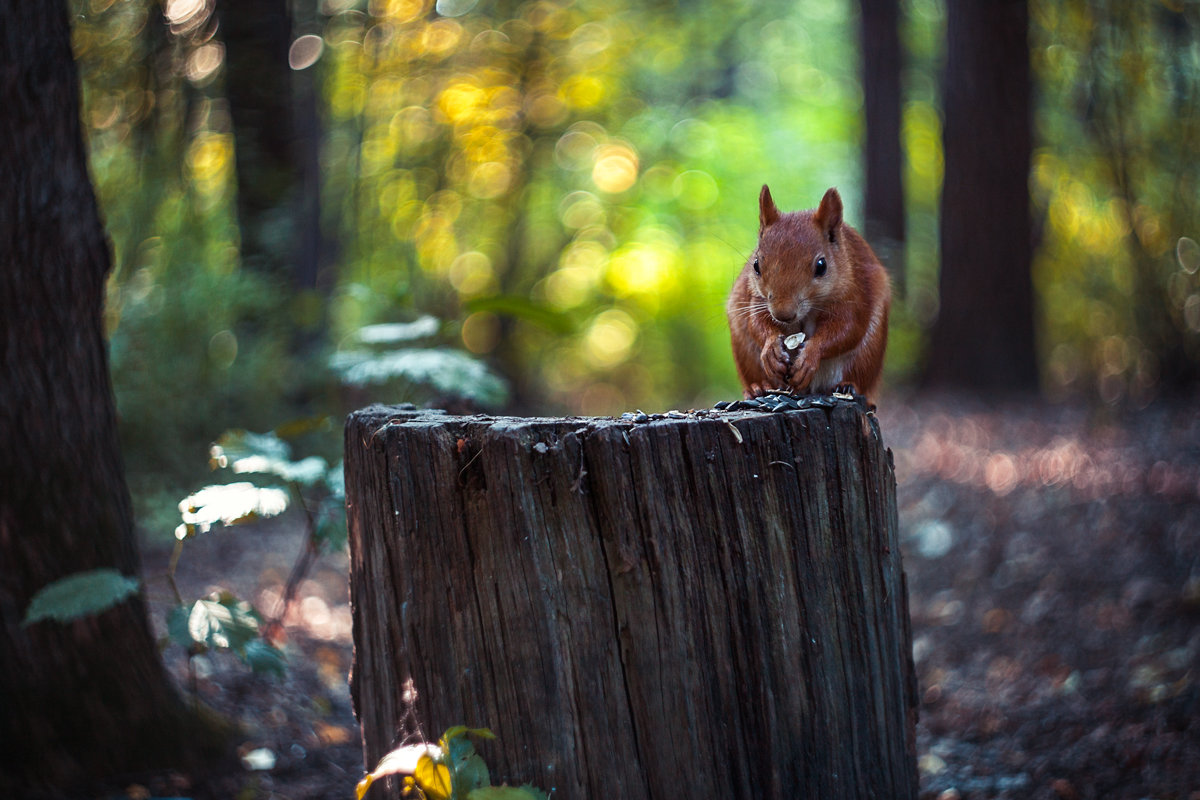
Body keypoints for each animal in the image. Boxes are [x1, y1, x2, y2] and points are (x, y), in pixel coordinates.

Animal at [720, 184, 892, 402]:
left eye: (821, 266)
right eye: (756, 265)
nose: (783, 314)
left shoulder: (854, 294)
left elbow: (848, 329)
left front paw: (810, 355)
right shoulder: (756, 298)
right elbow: (756, 323)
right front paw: (771, 348)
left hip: (868, 353)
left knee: (859, 375)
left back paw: (847, 387)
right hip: (745, 351)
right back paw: (757, 387)